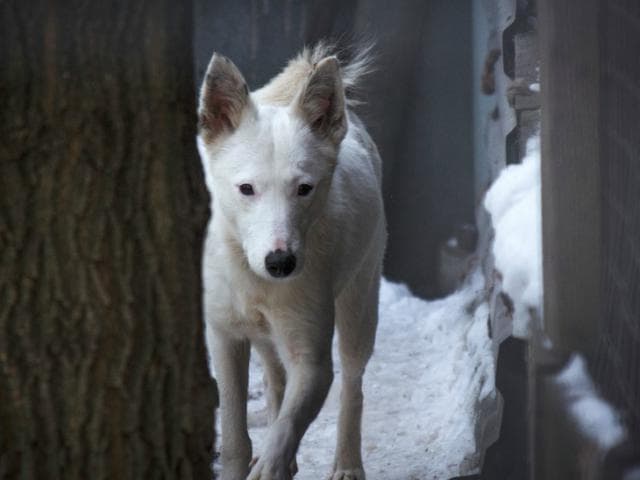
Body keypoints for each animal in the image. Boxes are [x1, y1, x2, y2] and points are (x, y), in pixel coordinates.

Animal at [199, 45, 384, 480]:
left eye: (304, 189)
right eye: (246, 189)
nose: (281, 262)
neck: (252, 277)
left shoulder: (313, 362)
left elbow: (286, 430)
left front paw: (271, 464)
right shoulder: (224, 337)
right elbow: (235, 435)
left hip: (360, 305)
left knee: (353, 384)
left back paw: (347, 462)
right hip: (268, 337)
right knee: (274, 376)